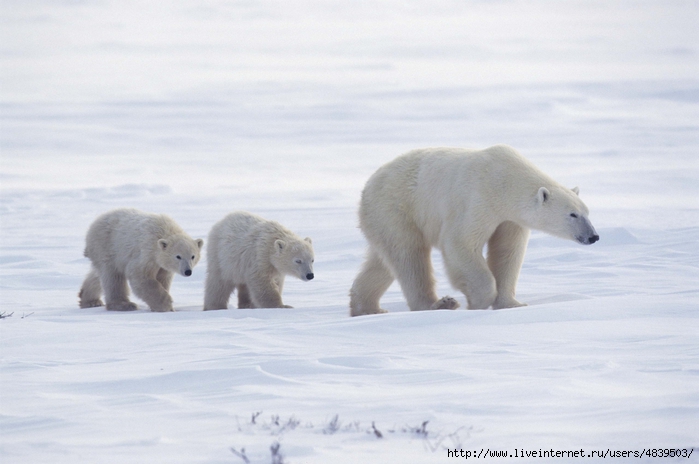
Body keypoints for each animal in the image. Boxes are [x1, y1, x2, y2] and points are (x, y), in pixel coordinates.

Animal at [350, 145, 600, 318]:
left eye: (587, 212)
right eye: (573, 214)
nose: (593, 236)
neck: (505, 180)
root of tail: (368, 186)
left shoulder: (510, 219)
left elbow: (508, 252)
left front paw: (512, 304)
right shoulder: (478, 199)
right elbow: (461, 243)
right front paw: (478, 302)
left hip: (384, 219)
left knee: (383, 262)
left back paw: (367, 308)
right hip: (397, 207)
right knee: (410, 257)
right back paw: (439, 304)